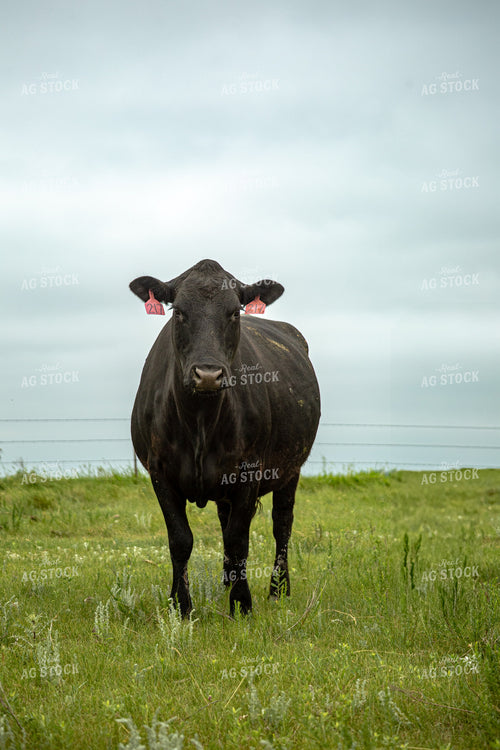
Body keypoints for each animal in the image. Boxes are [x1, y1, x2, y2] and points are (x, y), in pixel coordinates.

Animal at [129, 259, 320, 617]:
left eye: (234, 312)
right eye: (178, 312)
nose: (208, 374)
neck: (200, 421)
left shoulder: (249, 470)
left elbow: (237, 538)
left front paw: (242, 603)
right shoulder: (160, 472)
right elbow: (180, 539)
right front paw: (180, 604)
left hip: (291, 469)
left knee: (281, 524)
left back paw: (278, 589)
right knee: (224, 519)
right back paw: (226, 582)